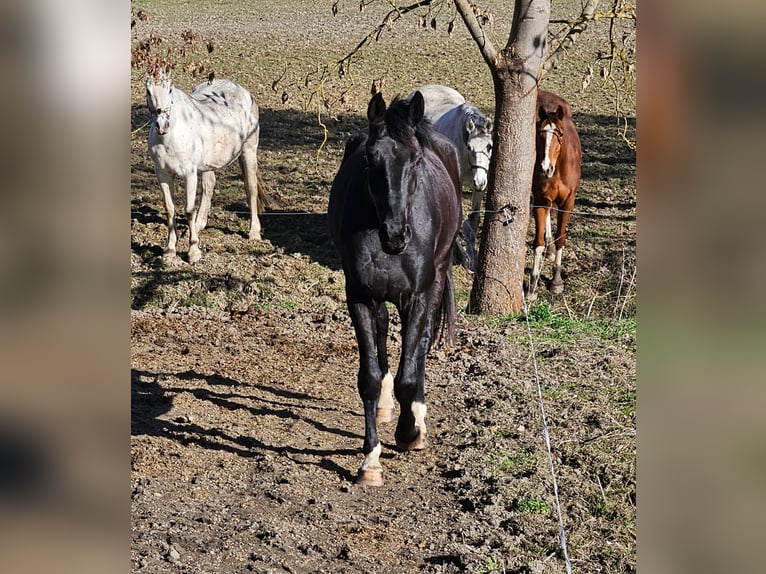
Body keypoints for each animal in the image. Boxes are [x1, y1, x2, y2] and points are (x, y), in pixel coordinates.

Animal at [145, 67, 268, 263]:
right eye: (148, 91)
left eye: (170, 89)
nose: (162, 125)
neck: (171, 136)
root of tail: (245, 92)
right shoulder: (162, 174)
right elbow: (170, 209)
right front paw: (170, 250)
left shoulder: (189, 174)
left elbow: (189, 210)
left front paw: (193, 252)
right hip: (207, 164)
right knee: (209, 186)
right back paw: (199, 224)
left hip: (249, 152)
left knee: (251, 189)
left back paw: (254, 232)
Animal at [328, 91, 462, 486]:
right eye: (371, 159)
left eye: (415, 160)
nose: (396, 234)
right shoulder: (359, 296)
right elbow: (370, 378)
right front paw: (370, 461)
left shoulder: (416, 297)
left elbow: (409, 372)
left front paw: (409, 432)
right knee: (385, 330)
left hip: (436, 279)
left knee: (421, 343)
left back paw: (417, 414)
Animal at [527, 89, 582, 301]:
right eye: (540, 134)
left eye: (559, 135)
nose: (545, 168)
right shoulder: (541, 200)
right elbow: (538, 243)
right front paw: (532, 287)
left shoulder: (568, 201)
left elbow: (561, 237)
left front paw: (556, 281)